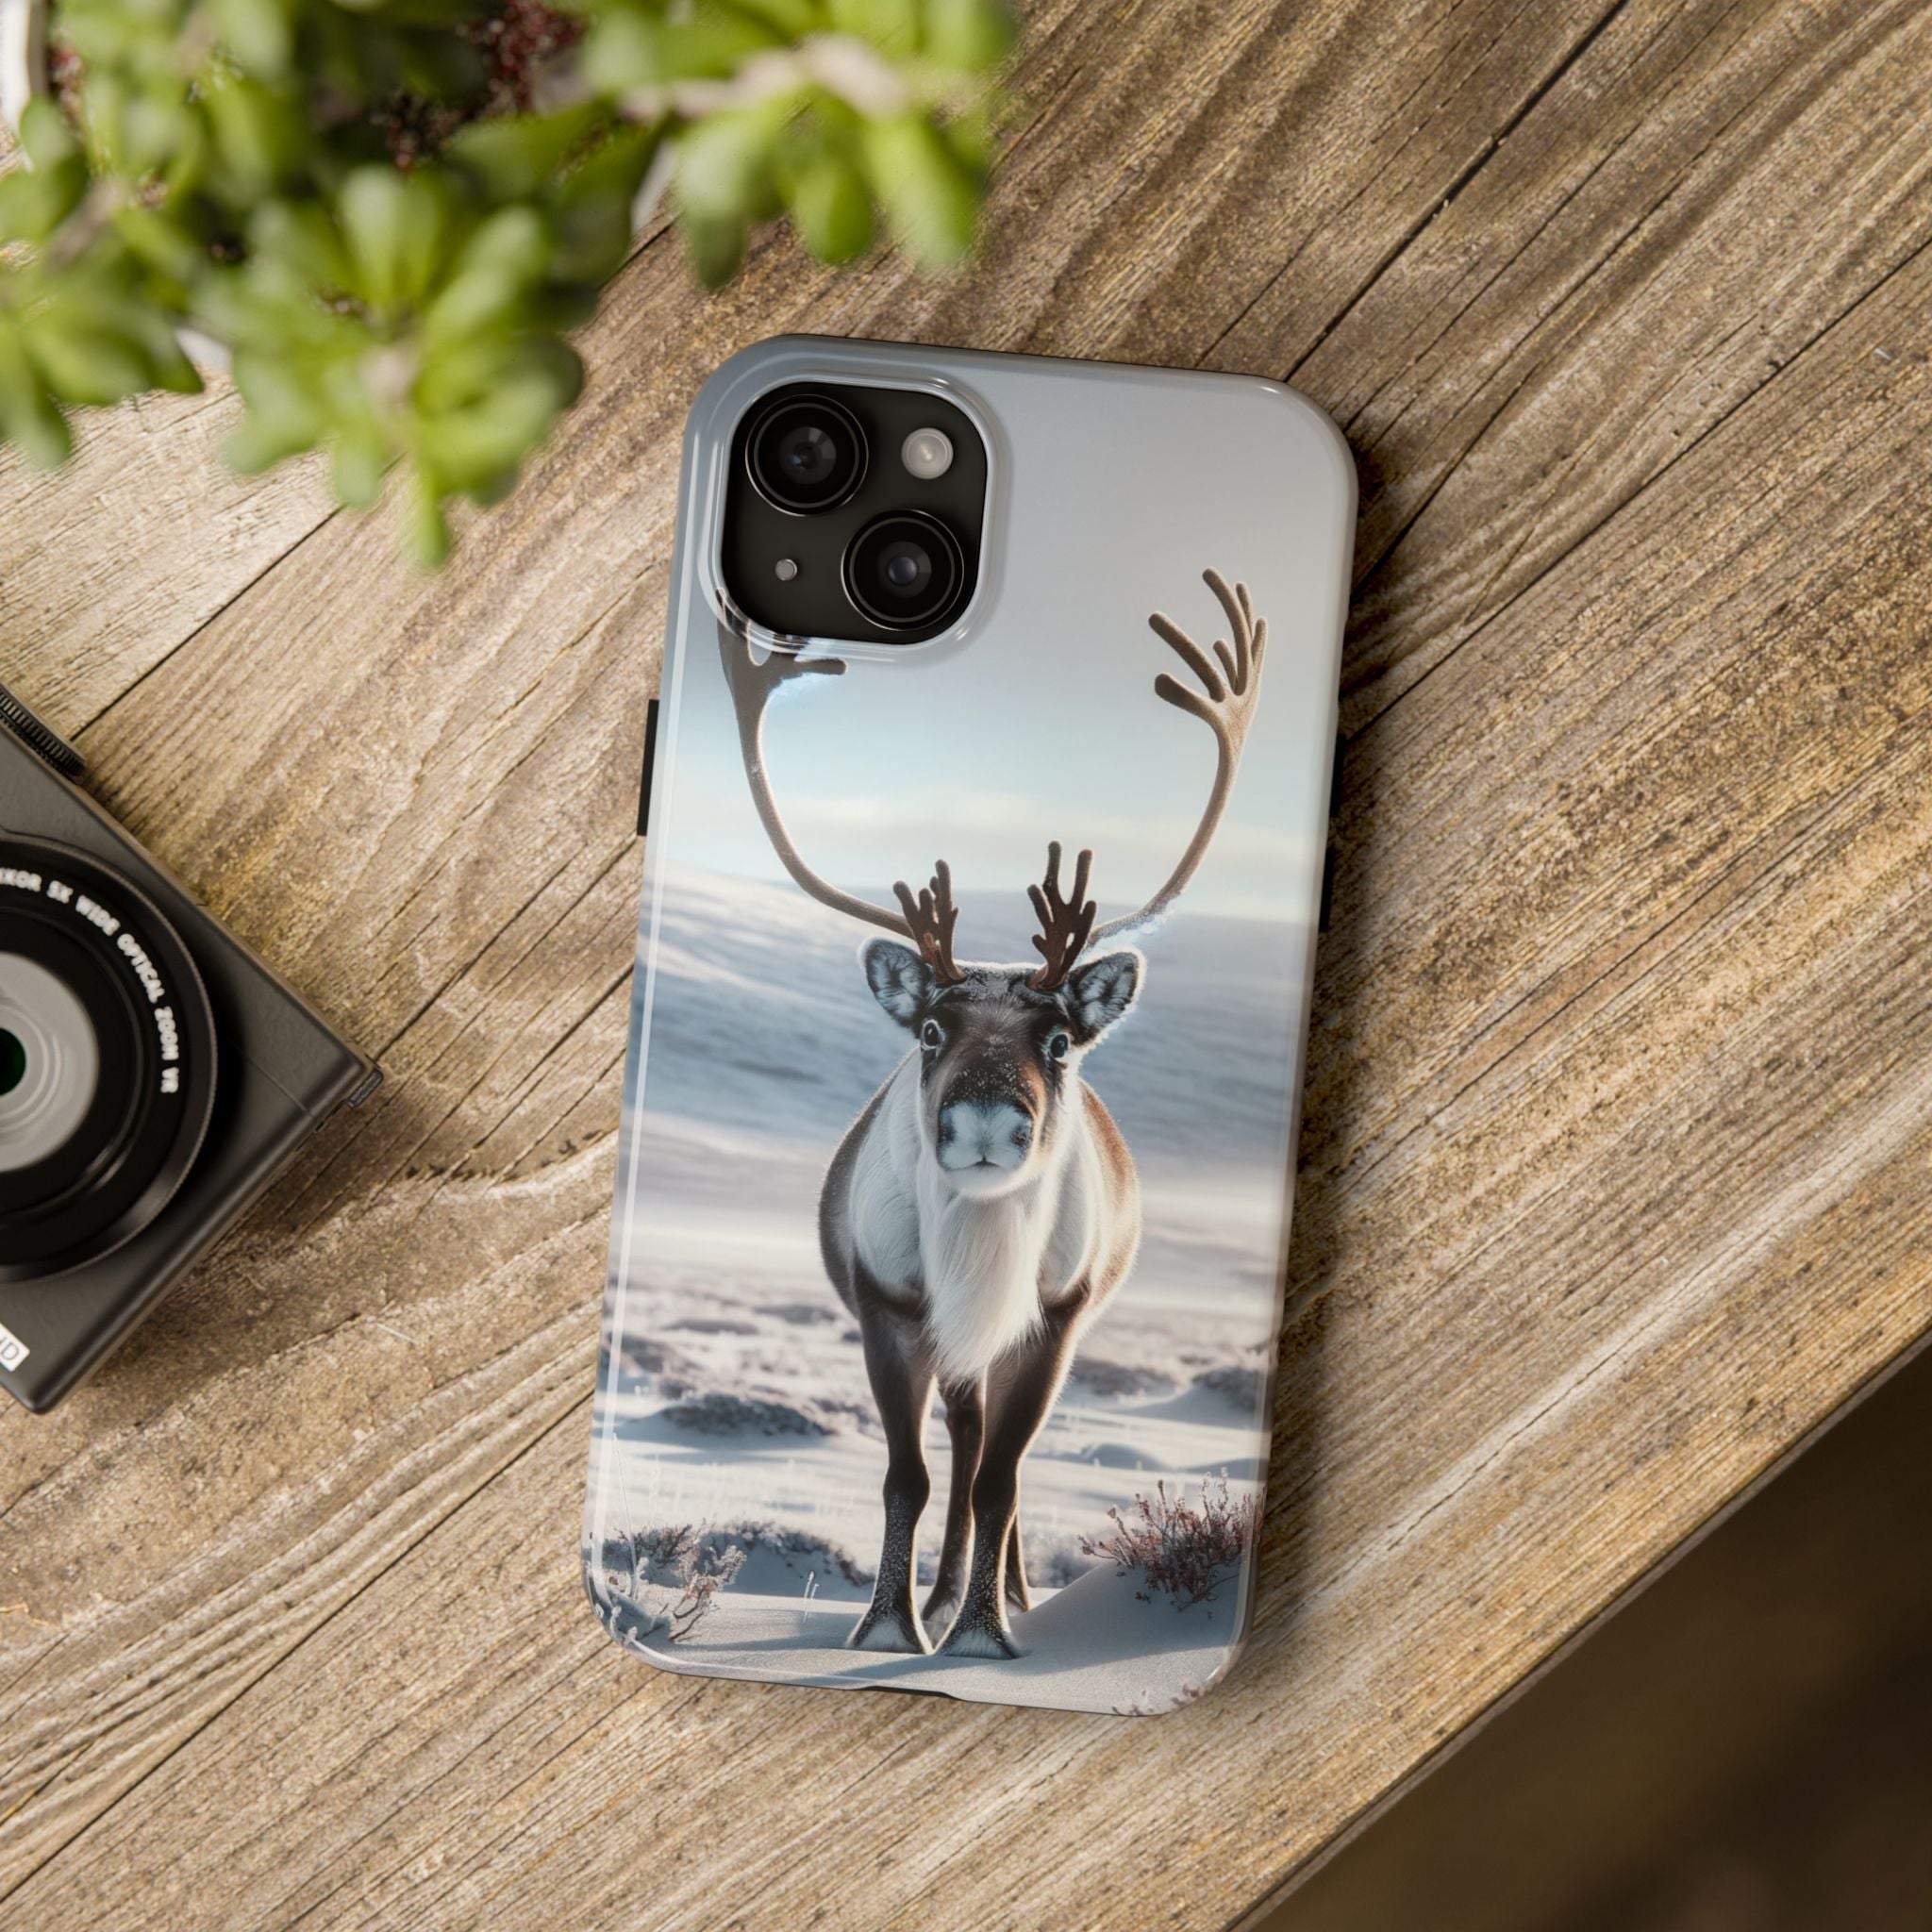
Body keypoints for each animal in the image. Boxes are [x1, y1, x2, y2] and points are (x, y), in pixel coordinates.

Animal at [716, 570, 1270, 1658]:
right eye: (931, 1028)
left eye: (1059, 1041)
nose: (982, 1121)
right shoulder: (889, 1311)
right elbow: (912, 1475)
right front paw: (891, 1626)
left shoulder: (1049, 1319)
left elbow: (1003, 1480)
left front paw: (985, 1635)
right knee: (963, 1448)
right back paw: (939, 1600)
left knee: (995, 1465)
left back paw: (1002, 1598)